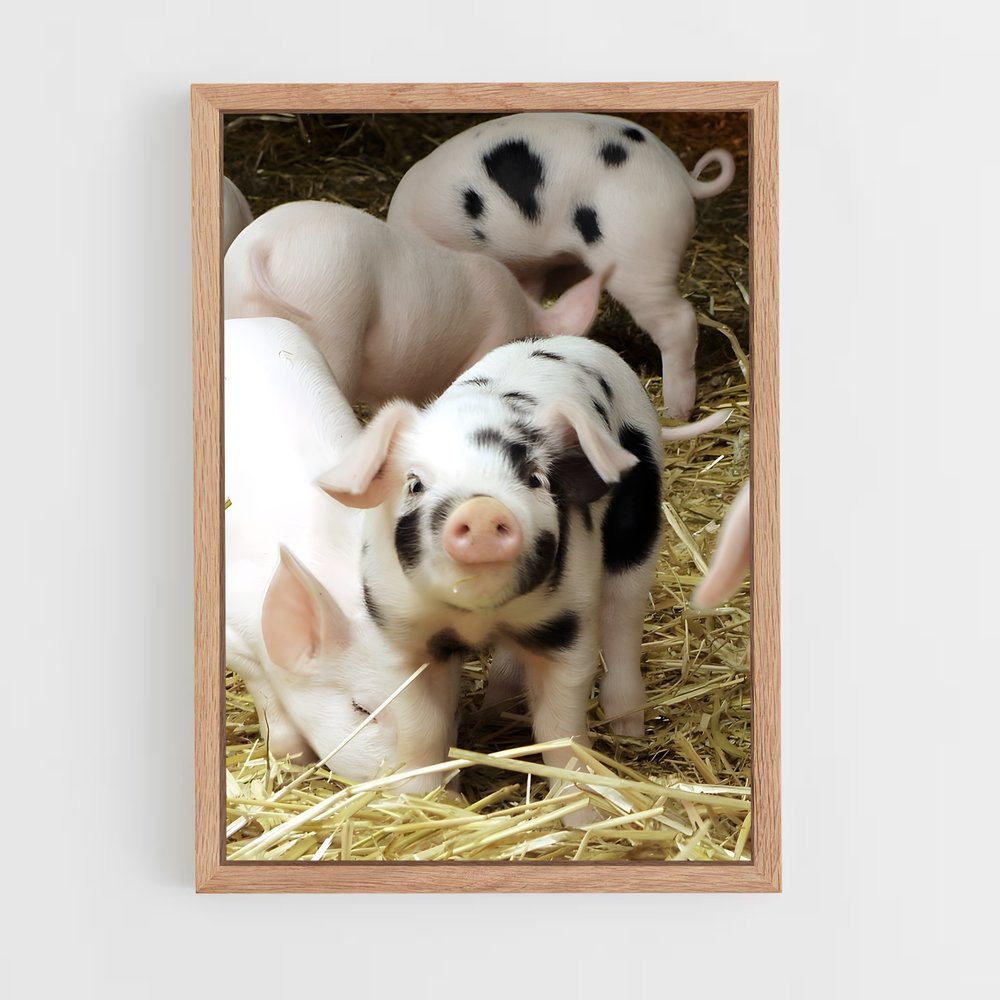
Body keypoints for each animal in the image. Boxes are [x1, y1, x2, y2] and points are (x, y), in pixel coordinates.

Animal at [318, 335, 729, 823]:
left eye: (535, 479)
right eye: (414, 483)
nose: (481, 509)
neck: (480, 617)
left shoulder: (568, 626)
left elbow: (561, 727)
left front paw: (583, 817)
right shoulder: (402, 632)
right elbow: (422, 727)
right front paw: (423, 803)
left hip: (638, 526)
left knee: (623, 618)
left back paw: (628, 727)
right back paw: (495, 711)